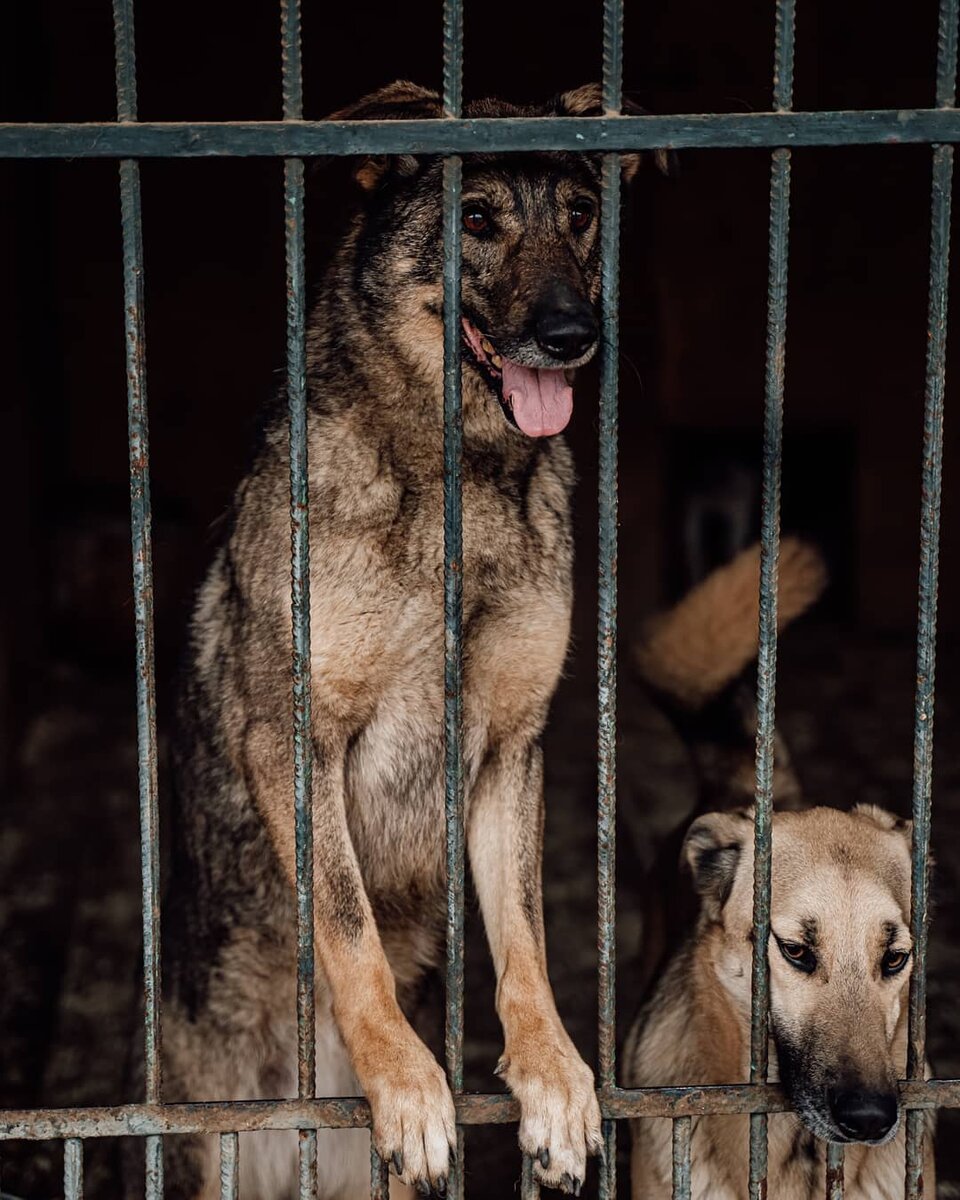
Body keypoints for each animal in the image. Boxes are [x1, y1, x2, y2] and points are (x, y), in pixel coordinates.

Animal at [140, 79, 667, 1195]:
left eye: (581, 213)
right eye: (476, 219)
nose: (573, 332)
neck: (455, 480)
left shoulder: (509, 746)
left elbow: (524, 935)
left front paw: (553, 1075)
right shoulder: (297, 744)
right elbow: (350, 928)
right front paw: (405, 1080)